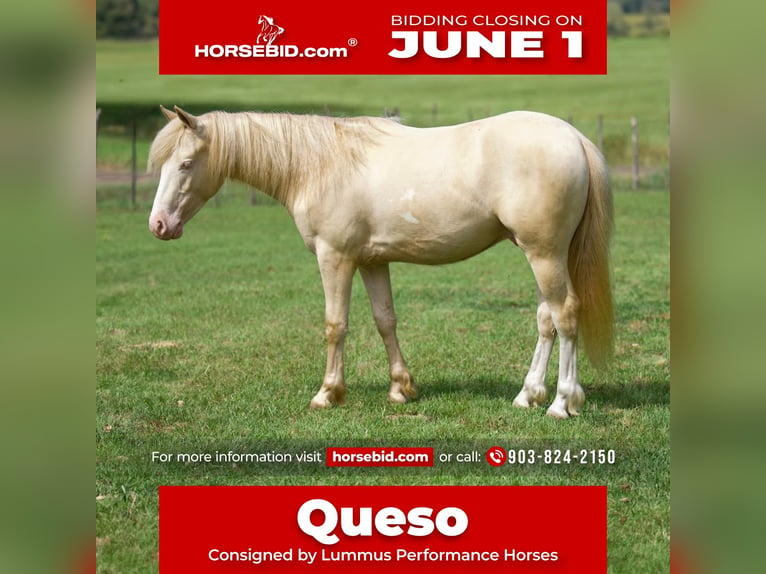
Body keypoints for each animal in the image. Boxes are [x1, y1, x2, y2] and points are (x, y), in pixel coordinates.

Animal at [148, 105, 614, 418]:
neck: (321, 165)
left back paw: (562, 402)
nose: (158, 224)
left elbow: (335, 325)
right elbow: (385, 320)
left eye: (186, 163)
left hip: (545, 254)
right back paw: (527, 395)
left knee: (566, 316)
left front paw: (328, 393)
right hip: (539, 254)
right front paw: (401, 388)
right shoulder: (372, 261)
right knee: (546, 320)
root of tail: (573, 137)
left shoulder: (335, 257)